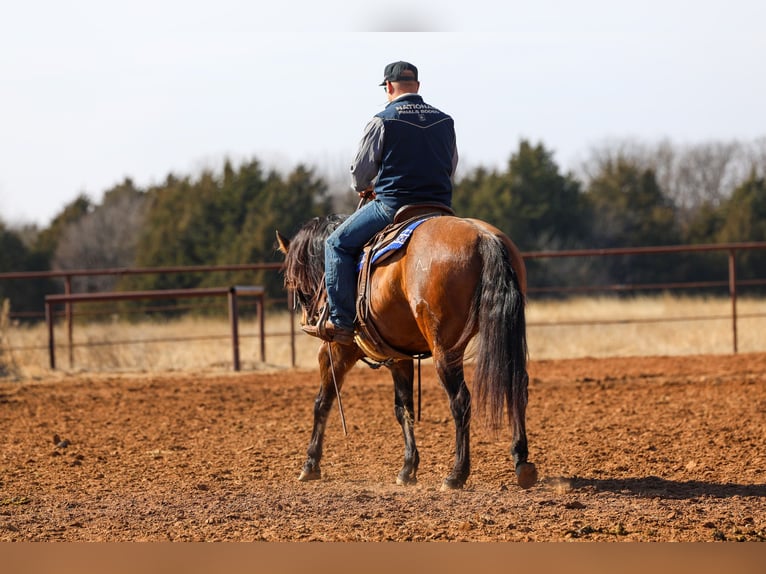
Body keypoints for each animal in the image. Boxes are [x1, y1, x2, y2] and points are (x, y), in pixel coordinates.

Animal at [276, 212, 537, 490]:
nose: (310, 318)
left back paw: (456, 474)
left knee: (460, 401)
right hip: (505, 333)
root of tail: (483, 237)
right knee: (516, 386)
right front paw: (408, 468)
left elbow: (322, 402)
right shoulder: (400, 358)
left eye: (291, 280)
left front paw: (310, 464)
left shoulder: (336, 349)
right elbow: (404, 409)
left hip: (445, 350)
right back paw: (522, 462)